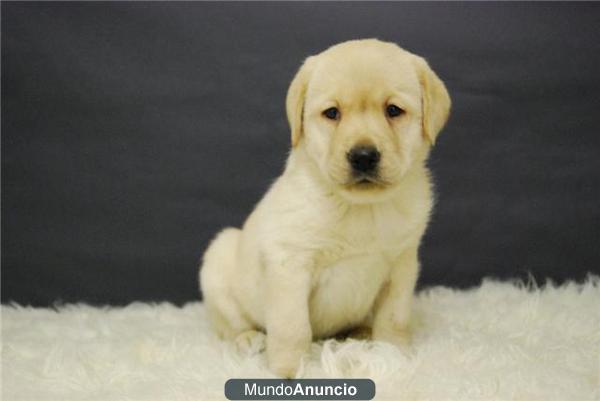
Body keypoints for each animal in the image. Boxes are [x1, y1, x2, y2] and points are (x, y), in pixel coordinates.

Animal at [199, 39, 448, 376]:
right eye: (332, 113)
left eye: (393, 110)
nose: (363, 156)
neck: (359, 207)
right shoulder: (290, 264)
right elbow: (292, 328)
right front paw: (288, 372)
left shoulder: (402, 264)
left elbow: (394, 319)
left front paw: (393, 358)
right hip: (220, 257)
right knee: (229, 327)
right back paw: (248, 339)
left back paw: (360, 334)